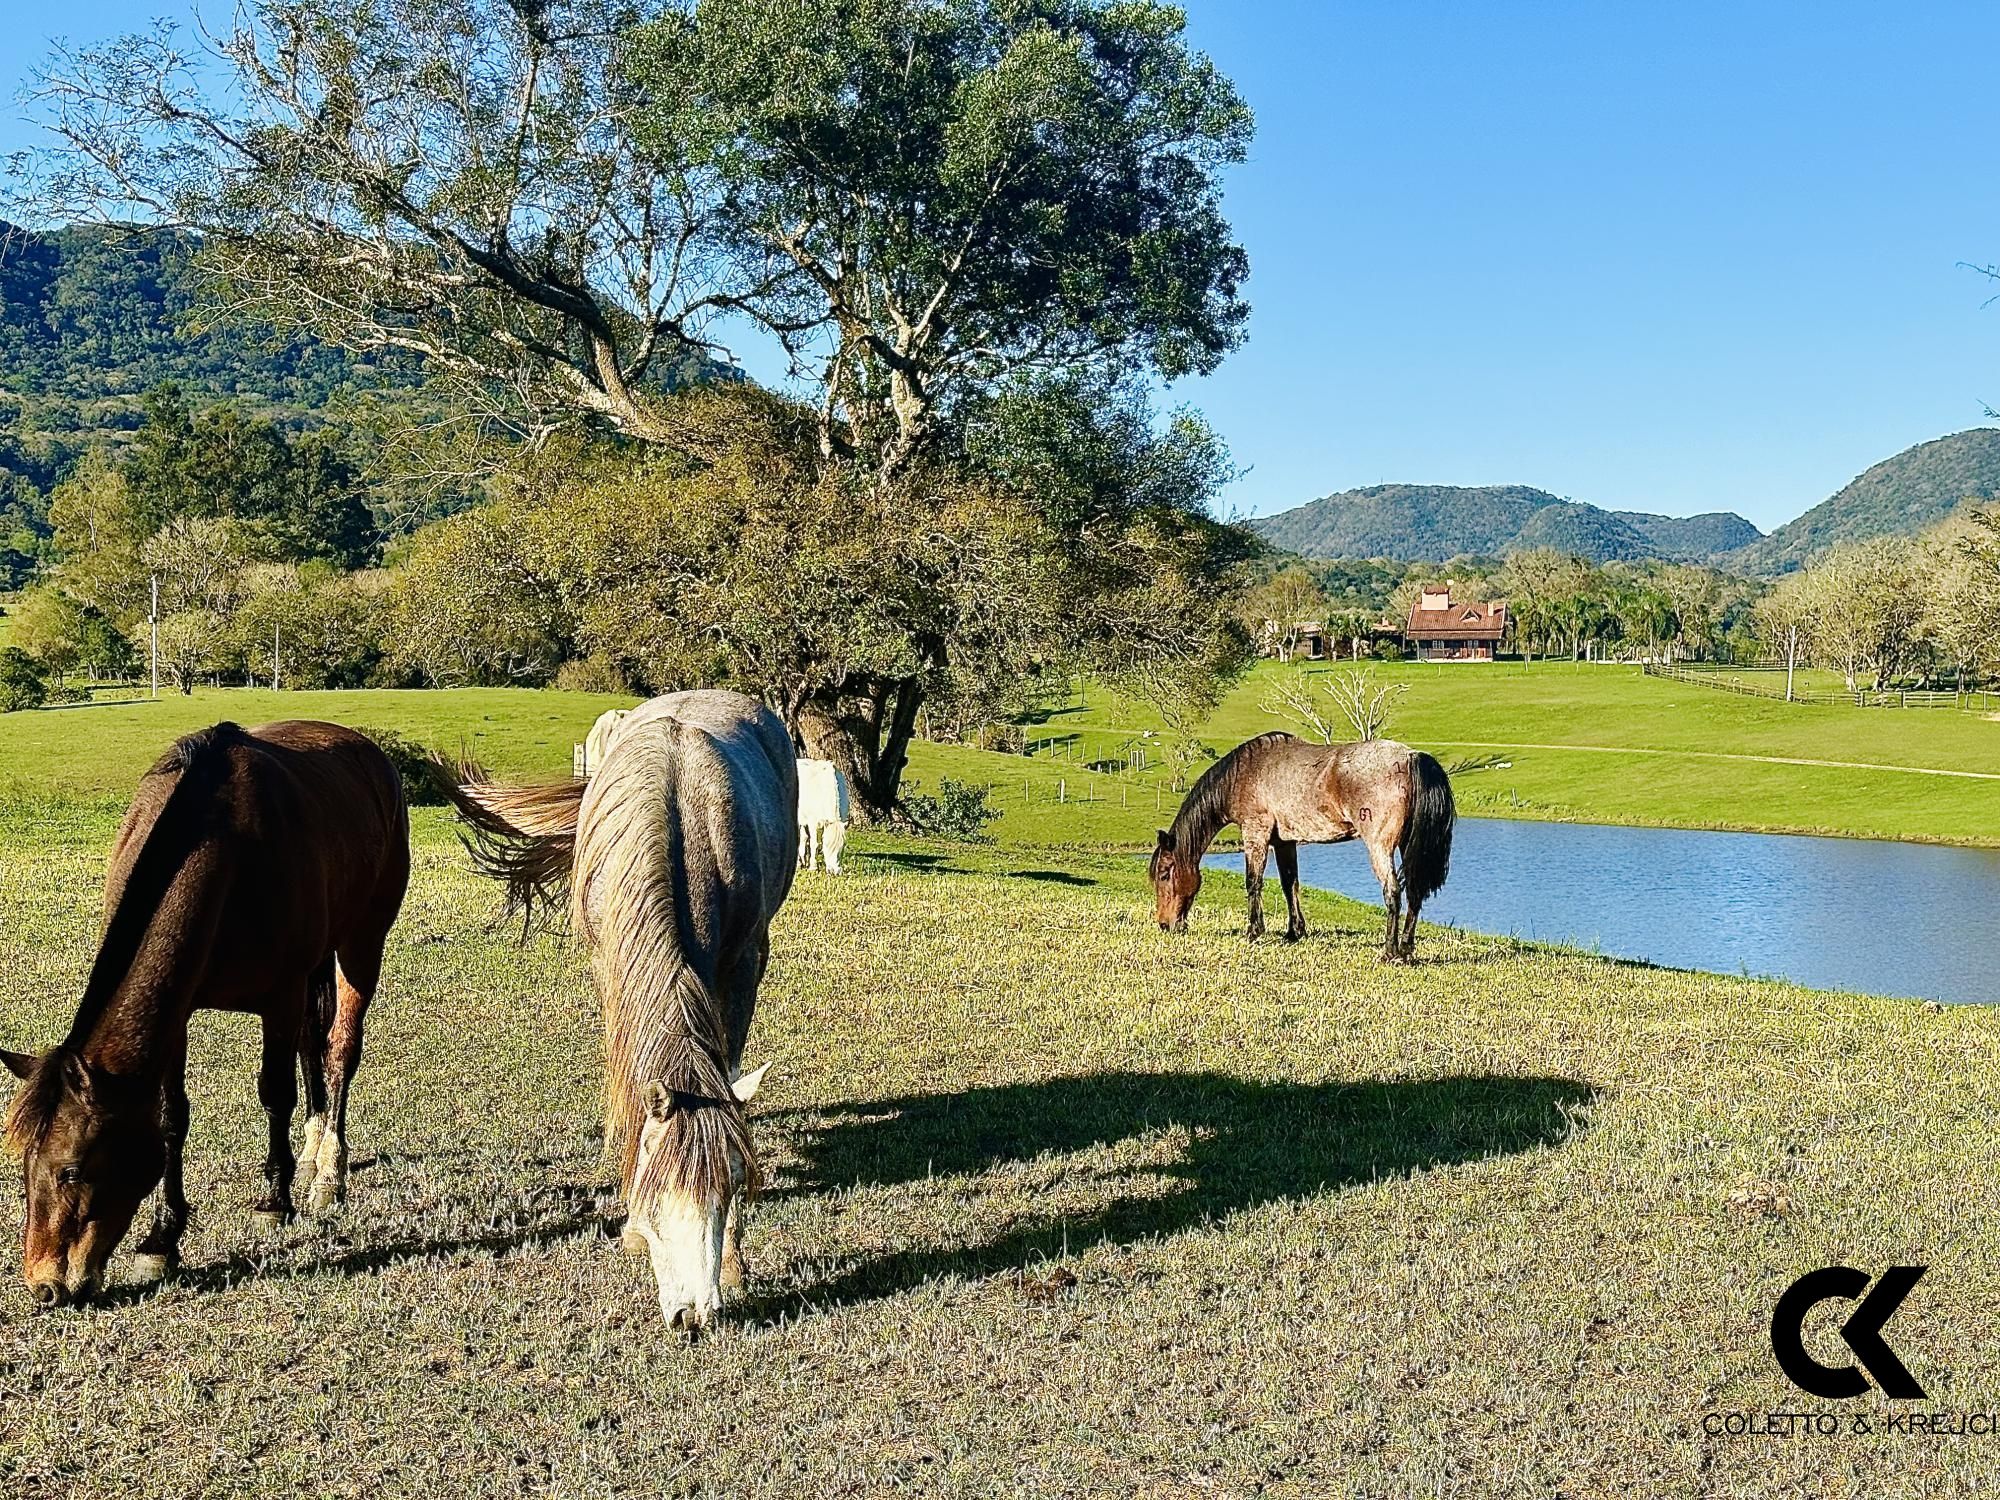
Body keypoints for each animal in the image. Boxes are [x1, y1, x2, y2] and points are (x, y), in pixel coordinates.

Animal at [0, 724, 410, 1304]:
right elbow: (172, 1118)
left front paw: (274, 1202)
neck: (226, 854)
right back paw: (311, 1157)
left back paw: (328, 1171)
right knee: (314, 1046)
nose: (43, 1286)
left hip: (361, 943)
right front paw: (161, 1240)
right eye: (23, 1167)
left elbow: (275, 1093)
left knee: (339, 1053)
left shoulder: (280, 997)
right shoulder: (180, 1009)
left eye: (72, 1171)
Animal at [1160, 732, 1456, 964]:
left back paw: (1389, 952)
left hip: (1379, 846)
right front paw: (1294, 932)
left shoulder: (1255, 832)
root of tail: (1411, 757)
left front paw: (1254, 931)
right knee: (1415, 892)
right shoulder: (1284, 842)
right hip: (1408, 847)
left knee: (1393, 892)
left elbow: (1253, 882)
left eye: (1164, 874)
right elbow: (1289, 883)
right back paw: (1406, 949)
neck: (1245, 773)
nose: (1165, 924)